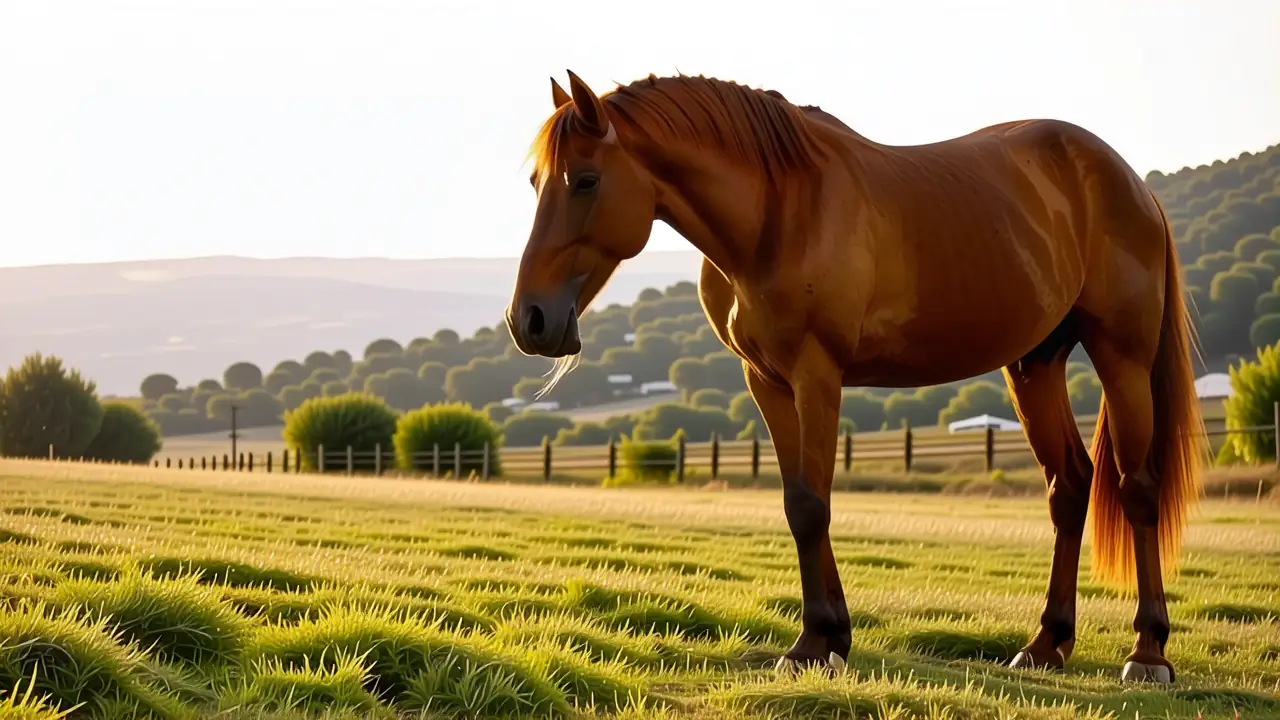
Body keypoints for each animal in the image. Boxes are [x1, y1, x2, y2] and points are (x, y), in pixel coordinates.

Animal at [504, 70, 1206, 684]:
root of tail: (1130, 182)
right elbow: (798, 501)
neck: (779, 211)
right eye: (536, 182)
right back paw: (1045, 645)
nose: (529, 321)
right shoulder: (767, 380)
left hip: (1122, 355)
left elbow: (813, 504)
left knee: (1136, 488)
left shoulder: (818, 372)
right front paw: (829, 637)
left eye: (586, 179)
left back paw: (1148, 653)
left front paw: (814, 643)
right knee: (1069, 485)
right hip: (1034, 364)